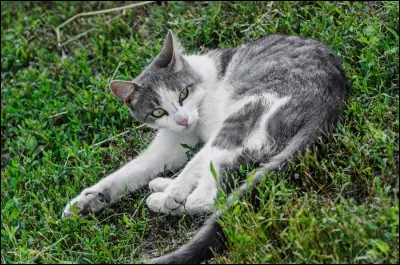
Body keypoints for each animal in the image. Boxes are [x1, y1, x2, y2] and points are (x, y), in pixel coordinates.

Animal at [61, 30, 348, 262]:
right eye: (157, 111)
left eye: (183, 94)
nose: (183, 119)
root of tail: (331, 104)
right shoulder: (171, 144)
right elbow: (132, 170)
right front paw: (85, 201)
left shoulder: (208, 131)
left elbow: (194, 162)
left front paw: (174, 193)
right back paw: (163, 186)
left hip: (246, 110)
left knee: (209, 195)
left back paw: (165, 197)